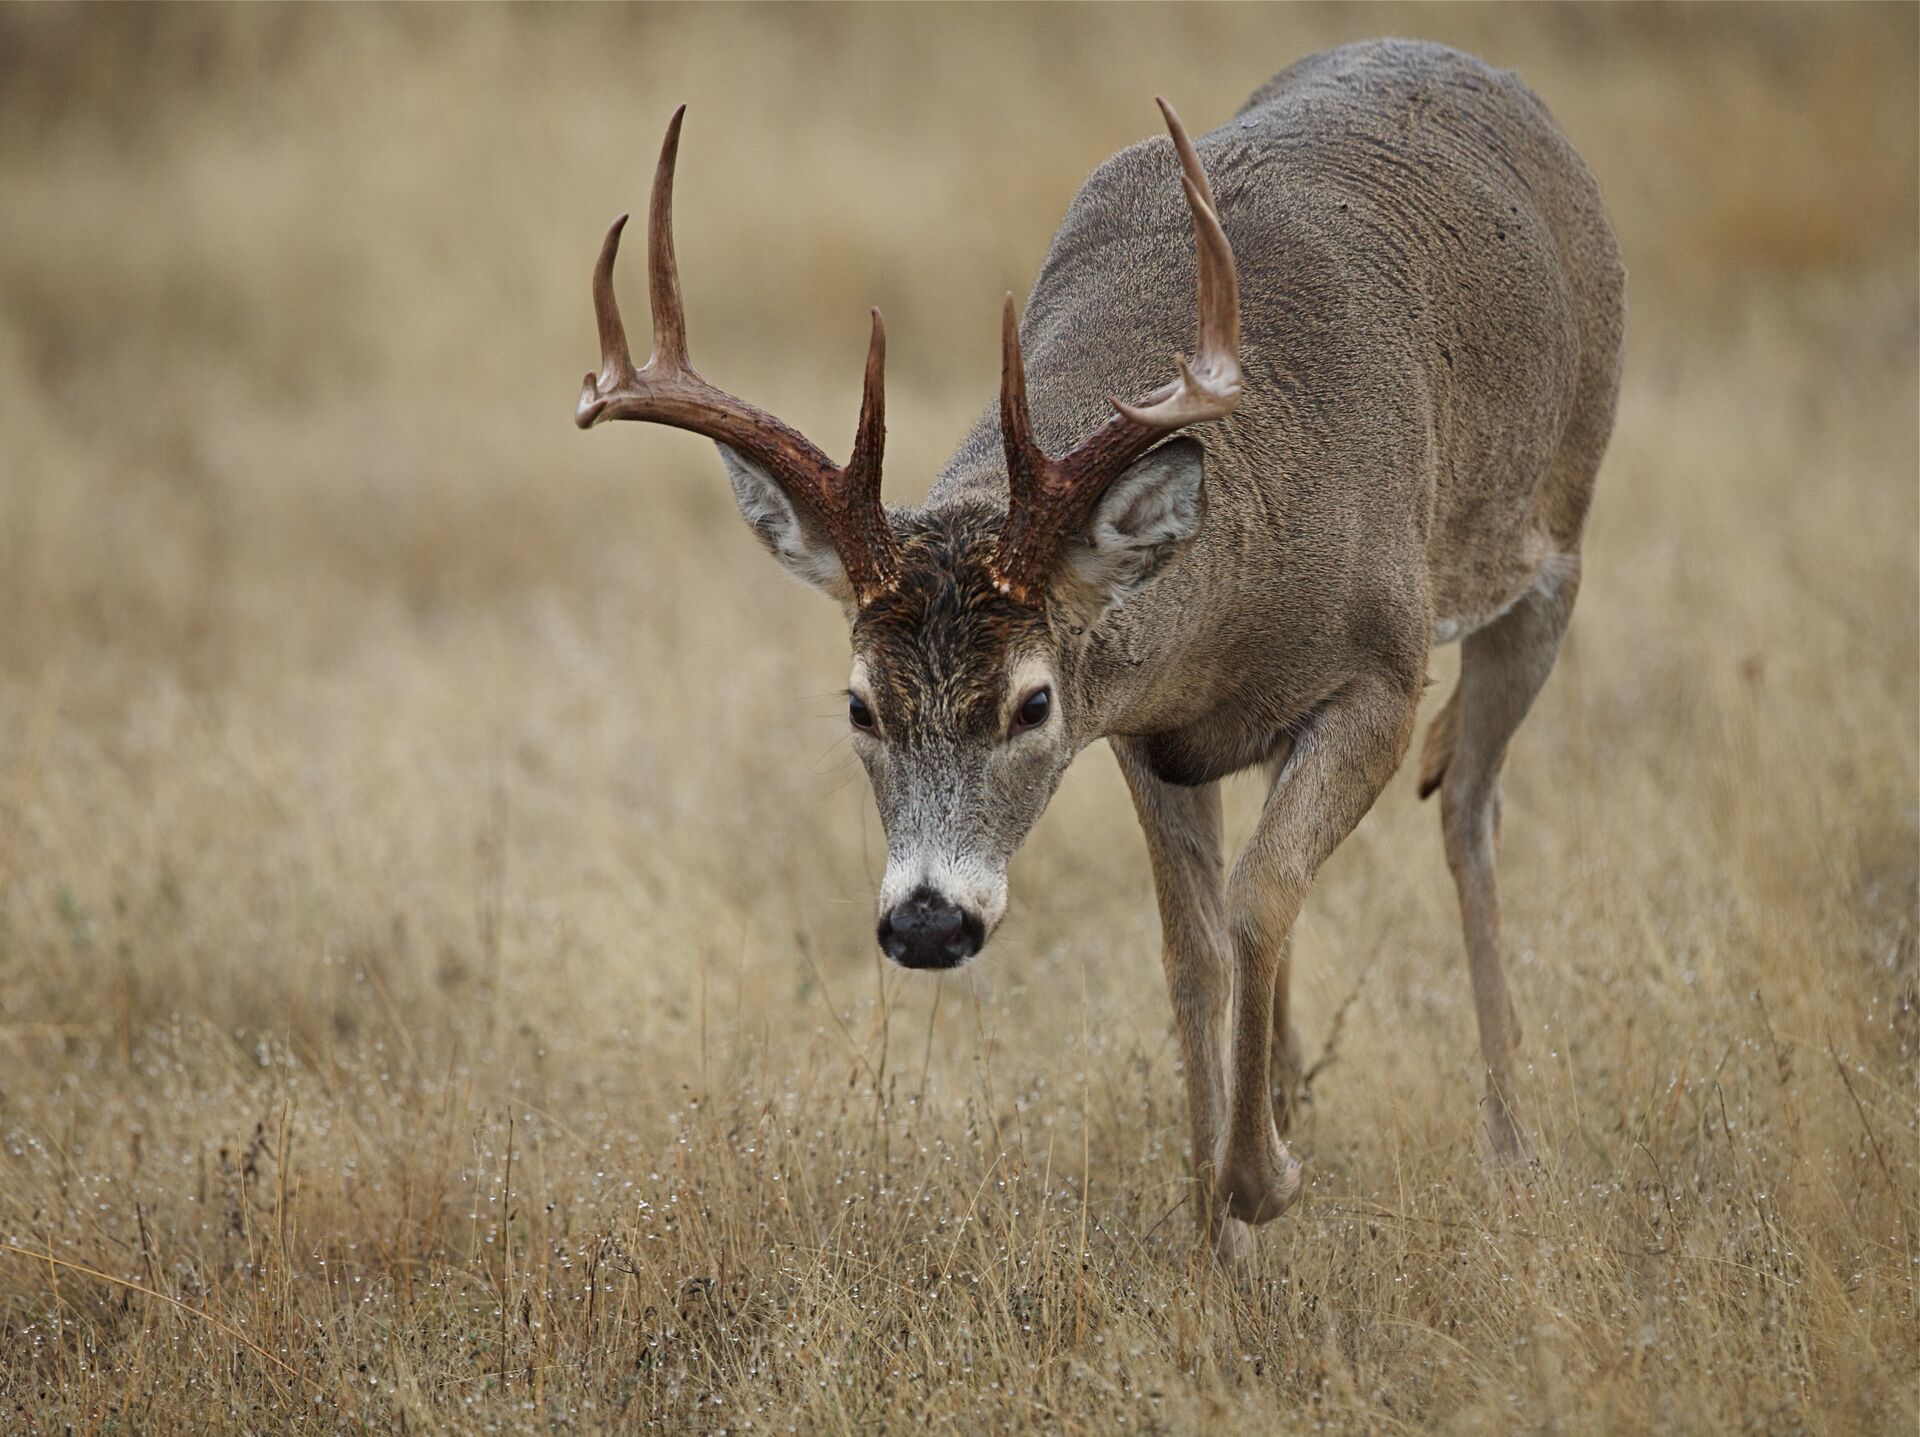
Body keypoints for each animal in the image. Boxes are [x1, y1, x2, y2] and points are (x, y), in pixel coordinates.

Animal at [564, 39, 1620, 1260]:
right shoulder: (1150, 732)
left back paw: (1511, 1144)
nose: (928, 922)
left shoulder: (1384, 672)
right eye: (859, 705)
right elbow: (1194, 947)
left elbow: (1260, 898)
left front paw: (1261, 1181)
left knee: (1469, 809)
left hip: (1554, 542)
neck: (1232, 610)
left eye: (1032, 705)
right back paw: (1296, 1092)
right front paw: (1216, 1226)